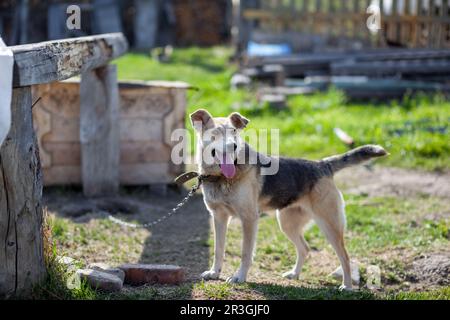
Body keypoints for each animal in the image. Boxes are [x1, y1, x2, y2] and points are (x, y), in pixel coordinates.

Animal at [190, 108, 386, 290]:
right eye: (215, 134)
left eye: (234, 132)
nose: (233, 146)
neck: (220, 177)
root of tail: (323, 165)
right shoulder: (219, 217)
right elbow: (218, 249)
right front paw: (214, 272)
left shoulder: (249, 219)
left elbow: (246, 253)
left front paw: (240, 277)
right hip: (287, 223)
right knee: (305, 249)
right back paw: (294, 274)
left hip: (329, 225)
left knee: (345, 256)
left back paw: (347, 286)